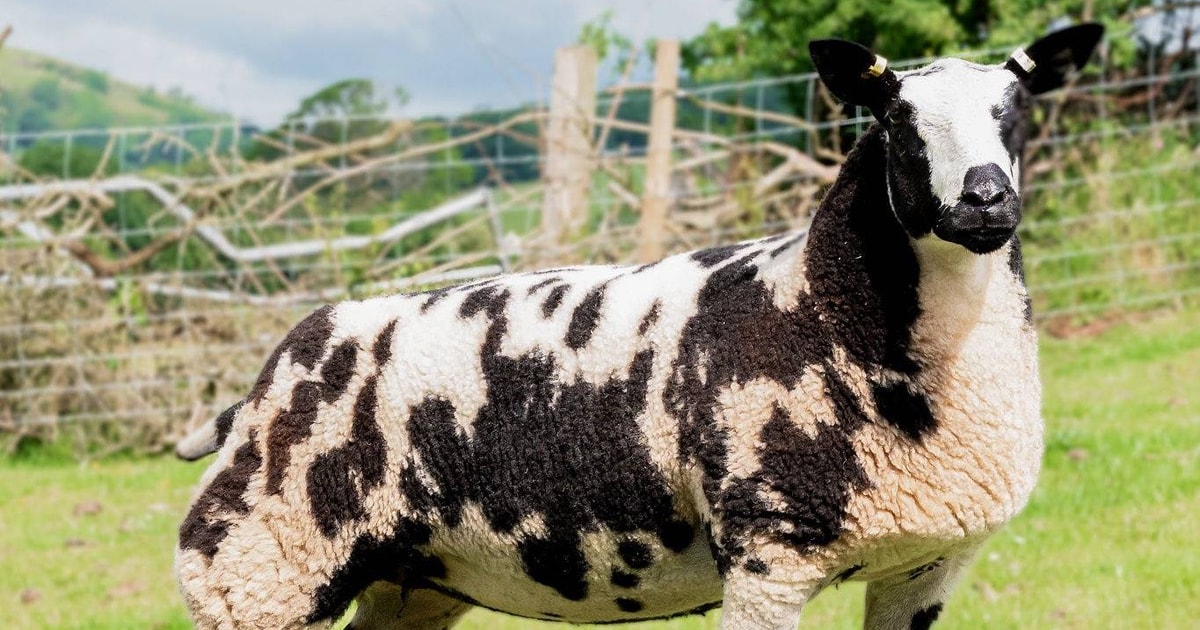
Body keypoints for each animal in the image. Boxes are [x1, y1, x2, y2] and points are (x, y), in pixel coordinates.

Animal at [176, 23, 1103, 630]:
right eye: (897, 121)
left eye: (1015, 112)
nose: (984, 198)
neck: (819, 308)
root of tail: (262, 387)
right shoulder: (768, 556)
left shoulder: (925, 564)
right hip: (259, 571)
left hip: (410, 583)